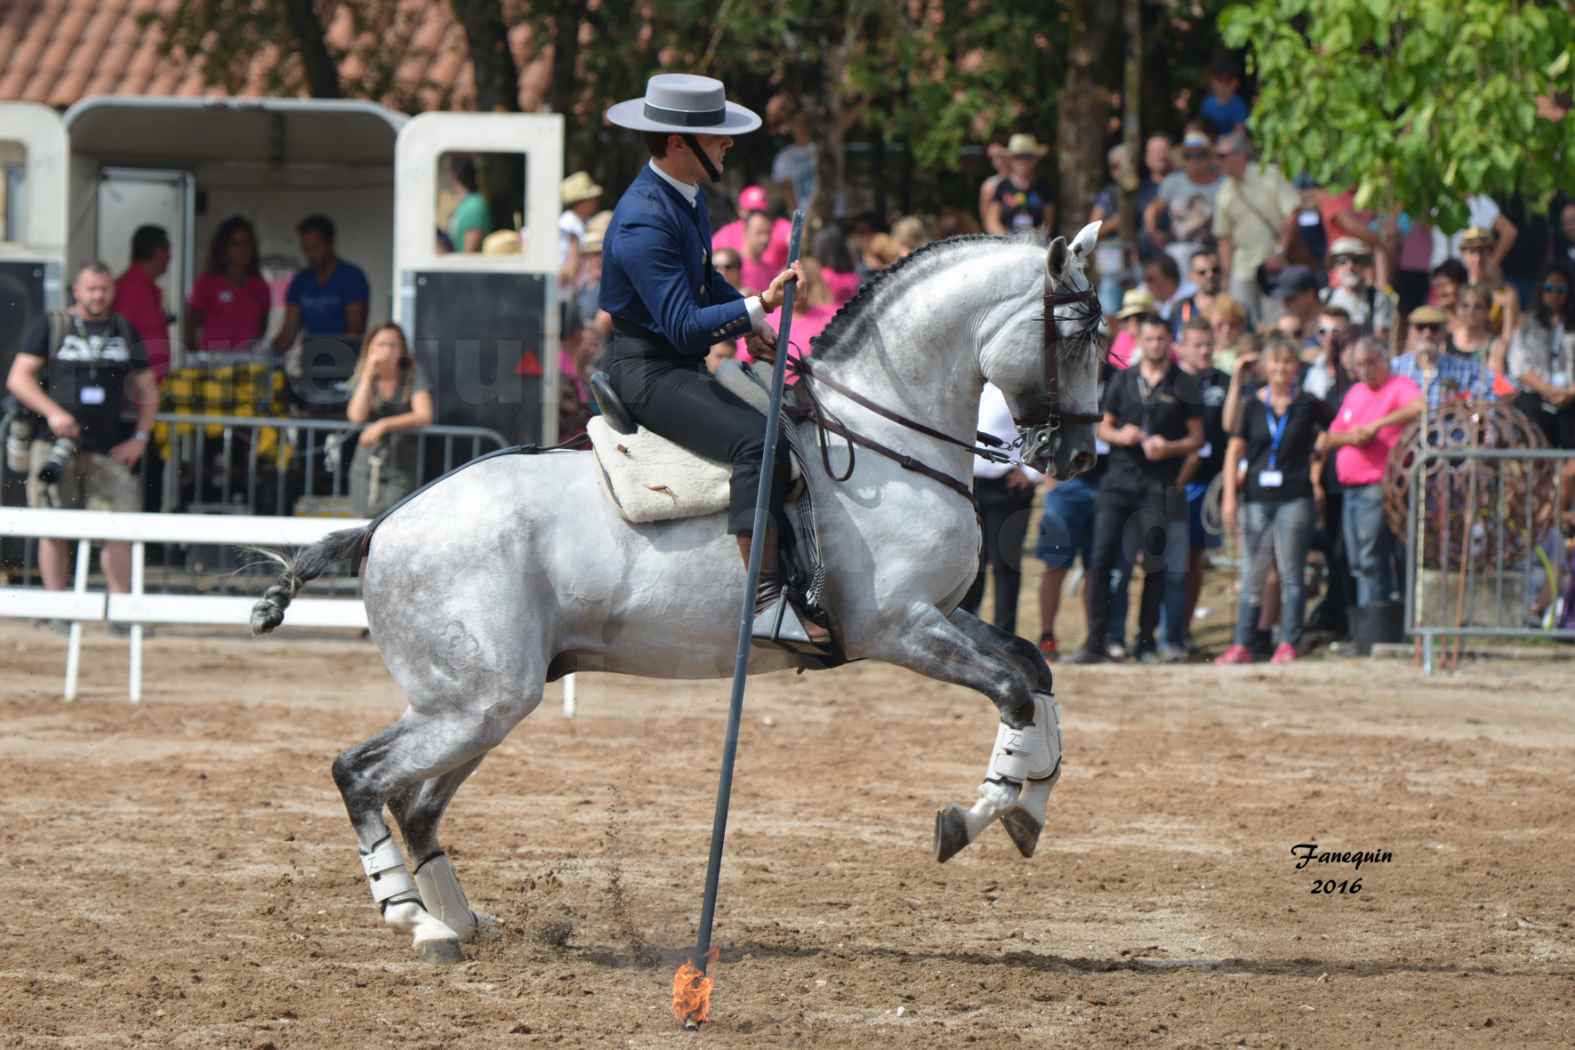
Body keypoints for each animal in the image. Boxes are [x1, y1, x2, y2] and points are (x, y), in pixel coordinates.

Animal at [248, 223, 1108, 963]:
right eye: (1075, 335)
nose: (1080, 456)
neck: (883, 440)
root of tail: (383, 526)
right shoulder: (896, 628)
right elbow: (1009, 689)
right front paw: (975, 818)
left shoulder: (944, 613)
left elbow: (1032, 672)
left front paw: (1028, 805)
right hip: (473, 702)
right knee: (360, 774)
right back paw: (413, 921)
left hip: (480, 703)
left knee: (417, 801)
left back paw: (458, 919)